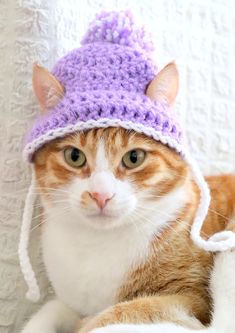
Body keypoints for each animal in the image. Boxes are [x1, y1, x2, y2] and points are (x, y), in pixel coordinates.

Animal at [20, 63, 235, 332]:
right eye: (74, 156)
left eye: (134, 158)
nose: (100, 195)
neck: (97, 244)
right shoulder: (70, 302)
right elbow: (50, 309)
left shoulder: (192, 297)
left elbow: (129, 310)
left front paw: (90, 322)